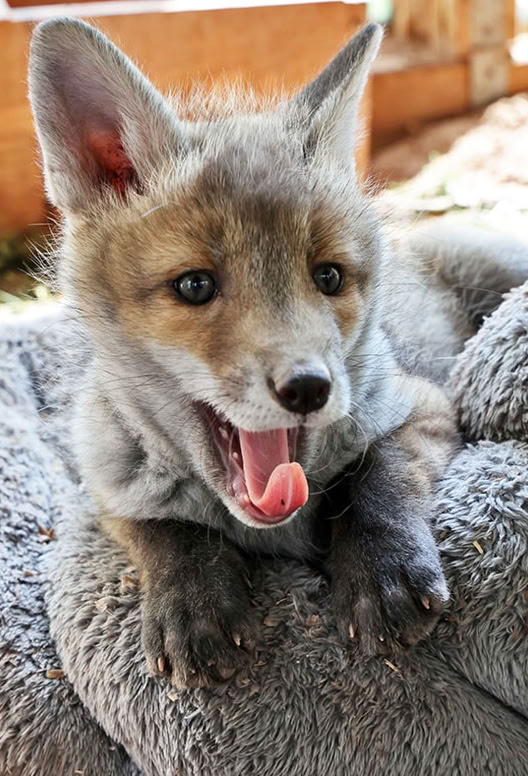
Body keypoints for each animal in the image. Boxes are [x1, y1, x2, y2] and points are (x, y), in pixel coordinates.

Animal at [28, 18, 528, 688]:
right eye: (195, 286)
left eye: (329, 277)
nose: (310, 388)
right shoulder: (106, 487)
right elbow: (165, 531)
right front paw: (194, 599)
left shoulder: (420, 404)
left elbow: (378, 478)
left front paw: (382, 569)